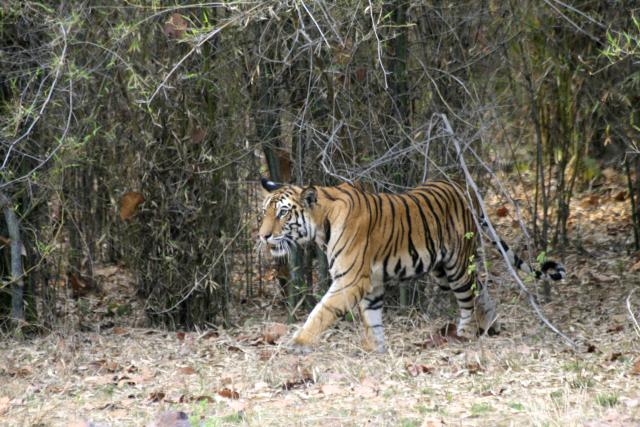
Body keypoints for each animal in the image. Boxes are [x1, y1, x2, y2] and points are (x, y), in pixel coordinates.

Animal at [258, 177, 566, 353]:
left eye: (283, 213)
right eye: (264, 212)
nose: (263, 235)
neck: (322, 224)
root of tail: (464, 190)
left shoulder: (350, 280)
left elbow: (321, 312)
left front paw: (298, 343)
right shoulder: (370, 282)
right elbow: (372, 318)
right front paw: (375, 350)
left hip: (455, 266)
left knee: (467, 298)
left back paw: (465, 334)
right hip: (442, 269)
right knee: (479, 286)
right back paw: (491, 323)